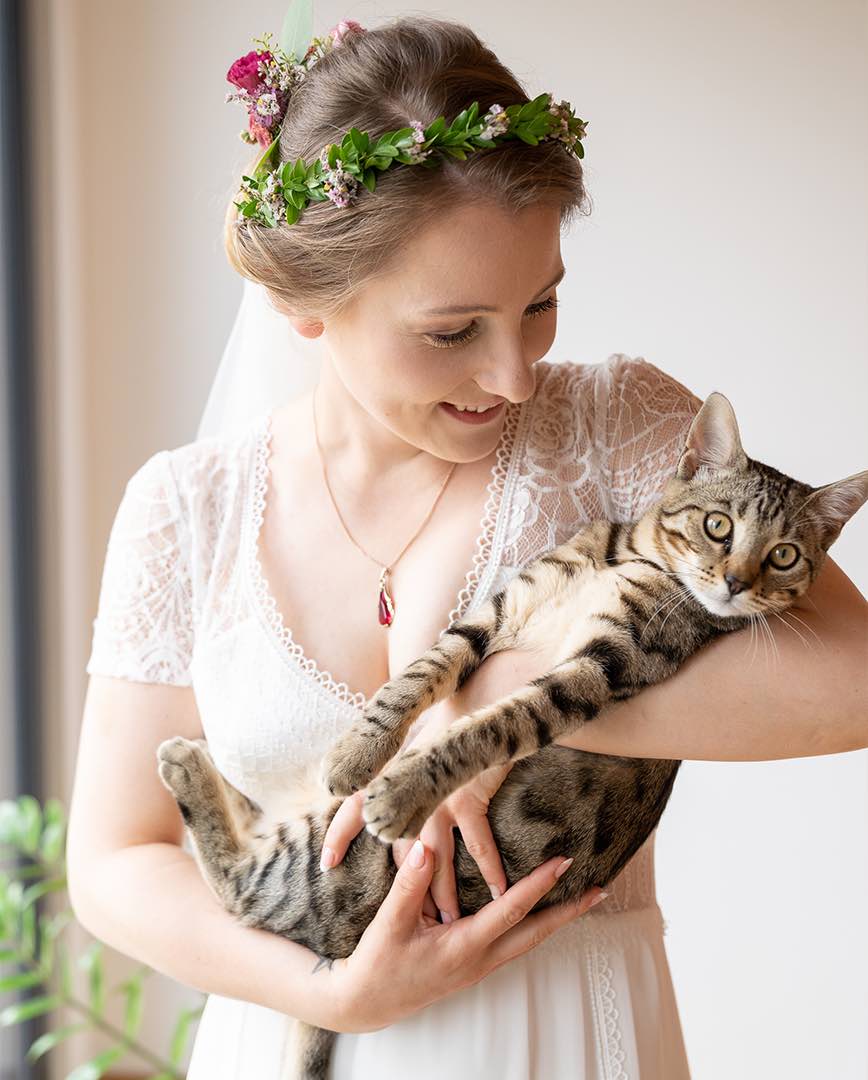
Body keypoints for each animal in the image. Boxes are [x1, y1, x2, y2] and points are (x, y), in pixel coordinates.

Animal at [157, 393, 868, 1075]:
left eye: (784, 556)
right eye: (718, 525)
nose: (735, 583)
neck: (621, 561)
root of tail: (337, 946)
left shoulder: (602, 668)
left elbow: (491, 727)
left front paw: (403, 789)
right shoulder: (501, 612)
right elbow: (423, 673)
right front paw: (361, 749)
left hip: (338, 860)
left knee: (239, 885)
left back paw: (186, 763)